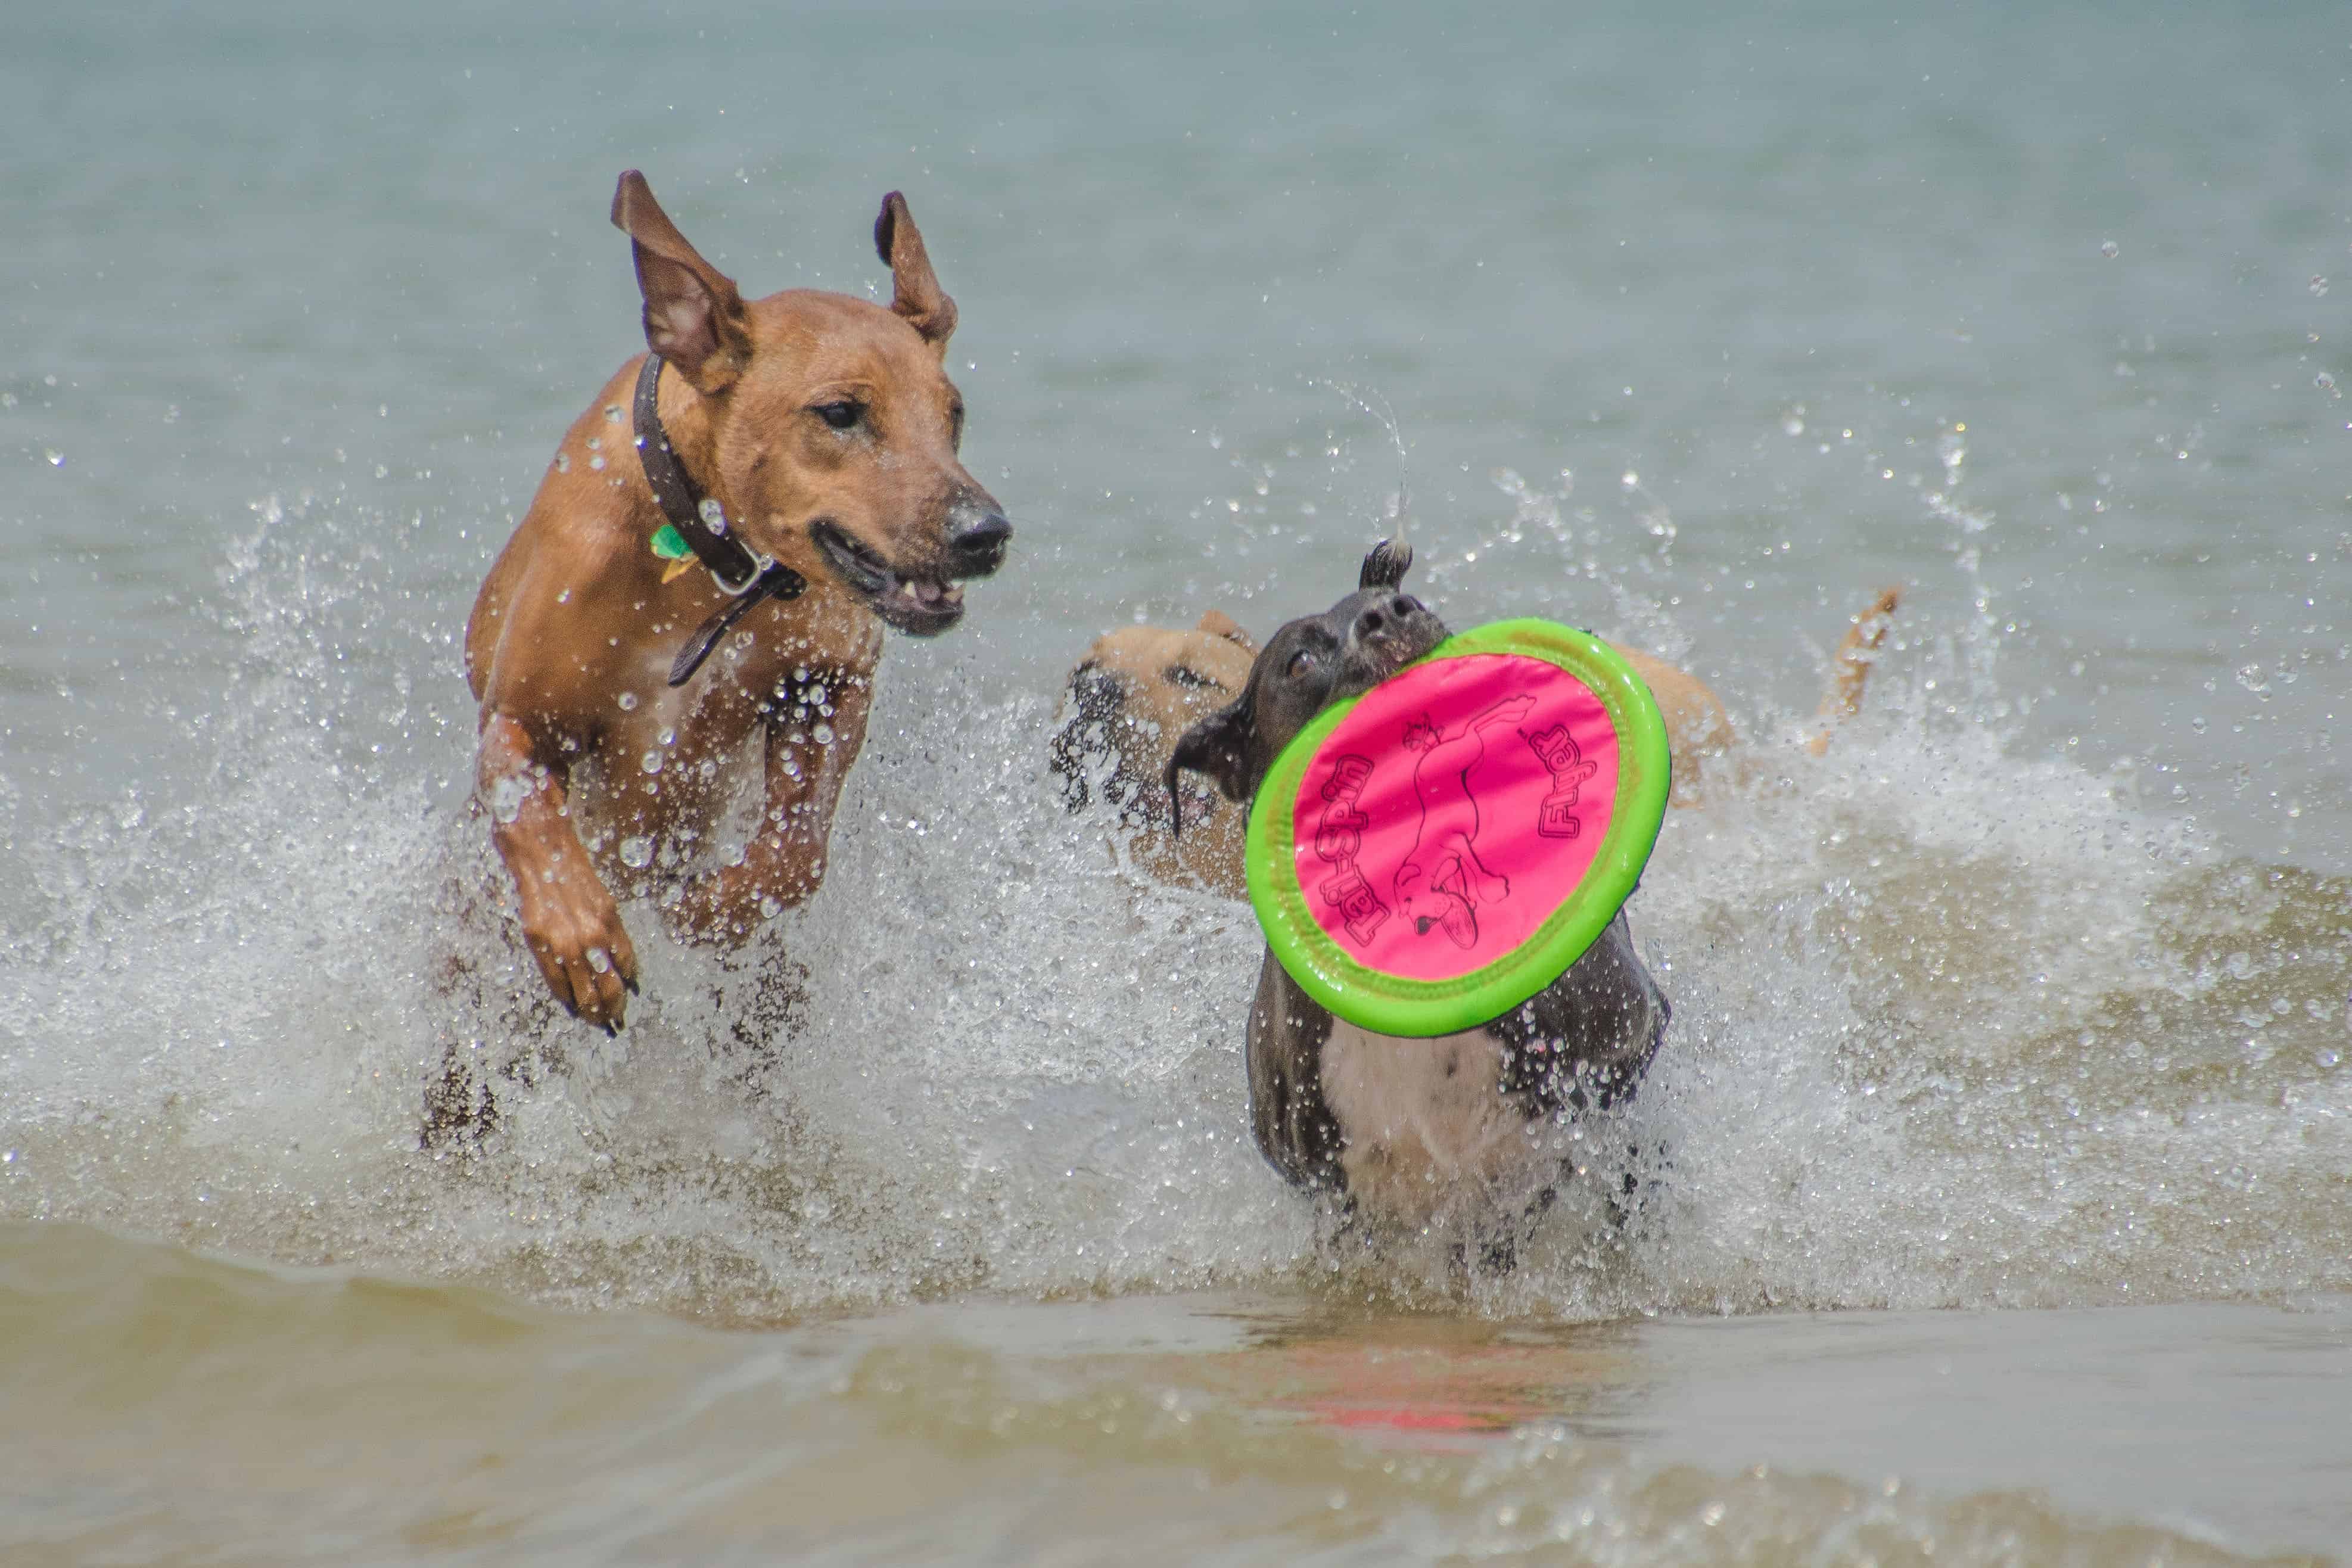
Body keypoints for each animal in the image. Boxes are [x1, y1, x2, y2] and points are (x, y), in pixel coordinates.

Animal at [463, 175, 1006, 1029]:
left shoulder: (829, 680)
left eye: (953, 414)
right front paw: (582, 940)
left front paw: (708, 909)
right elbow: (524, 802)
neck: (710, 557)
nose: (986, 533)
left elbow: (796, 850)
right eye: (841, 413)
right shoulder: (520, 715)